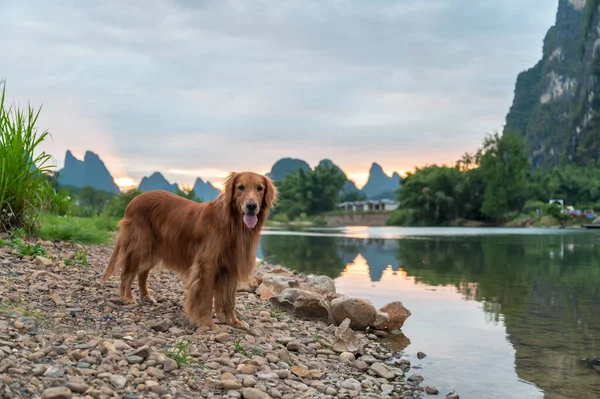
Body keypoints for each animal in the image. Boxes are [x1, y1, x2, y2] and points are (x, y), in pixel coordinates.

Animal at [101, 172, 278, 332]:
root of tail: (133, 200)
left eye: (260, 188)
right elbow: (205, 298)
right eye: (241, 187)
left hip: (153, 251)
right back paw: (127, 297)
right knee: (128, 272)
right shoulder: (206, 266)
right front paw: (207, 323)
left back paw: (145, 296)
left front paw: (233, 321)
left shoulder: (230, 268)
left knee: (142, 274)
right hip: (140, 247)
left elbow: (230, 300)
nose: (251, 206)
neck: (232, 224)